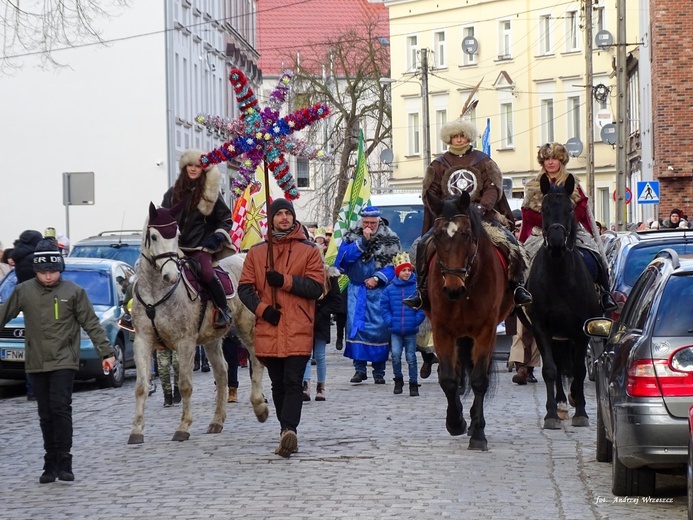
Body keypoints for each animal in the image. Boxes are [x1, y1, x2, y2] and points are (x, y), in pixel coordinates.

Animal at [128, 201, 268, 444]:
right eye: (154, 236)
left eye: (176, 235)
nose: (171, 276)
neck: (156, 291)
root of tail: (244, 257)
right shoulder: (143, 340)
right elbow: (141, 387)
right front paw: (136, 431)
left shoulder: (185, 341)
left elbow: (185, 384)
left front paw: (183, 426)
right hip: (212, 339)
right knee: (222, 373)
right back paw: (217, 421)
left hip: (247, 327)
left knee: (256, 360)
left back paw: (260, 407)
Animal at [424, 192, 516, 450]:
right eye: (437, 235)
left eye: (466, 234)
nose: (452, 289)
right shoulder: (442, 330)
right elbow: (448, 378)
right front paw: (455, 422)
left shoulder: (486, 331)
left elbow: (479, 379)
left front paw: (478, 433)